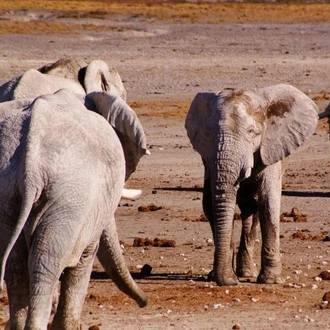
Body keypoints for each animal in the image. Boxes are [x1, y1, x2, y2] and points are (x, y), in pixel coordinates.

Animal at [0, 88, 147, 330]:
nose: (145, 302)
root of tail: (30, 170)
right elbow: (85, 257)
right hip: (70, 197)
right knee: (46, 260)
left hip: (11, 192)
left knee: (17, 264)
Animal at [184, 83, 318, 286]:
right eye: (209, 134)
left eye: (251, 132)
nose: (229, 281)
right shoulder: (208, 159)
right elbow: (210, 205)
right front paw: (221, 276)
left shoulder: (270, 149)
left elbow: (268, 203)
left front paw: (270, 280)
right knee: (247, 207)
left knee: (253, 207)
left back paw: (247, 274)